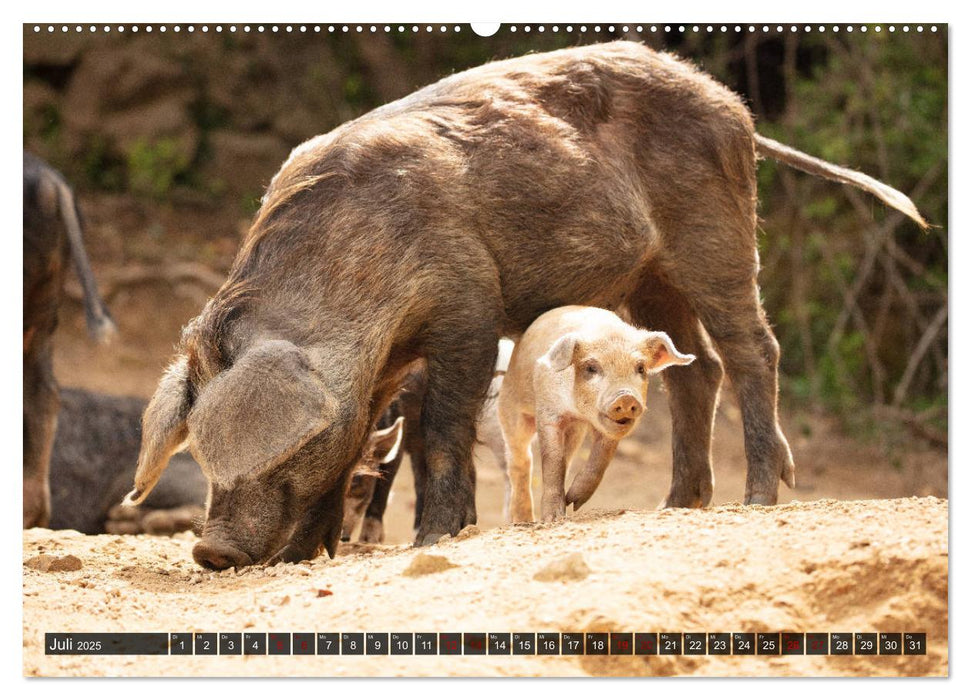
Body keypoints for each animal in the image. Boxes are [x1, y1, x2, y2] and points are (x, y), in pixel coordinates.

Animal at [121, 39, 928, 568]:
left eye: (280, 450)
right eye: (204, 454)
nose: (209, 550)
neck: (355, 285)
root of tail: (737, 108)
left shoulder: (467, 306)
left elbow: (442, 431)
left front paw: (434, 539)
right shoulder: (381, 367)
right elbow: (360, 443)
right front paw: (307, 556)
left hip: (716, 230)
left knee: (752, 347)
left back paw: (758, 498)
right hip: (648, 275)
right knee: (694, 367)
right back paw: (677, 505)